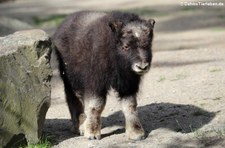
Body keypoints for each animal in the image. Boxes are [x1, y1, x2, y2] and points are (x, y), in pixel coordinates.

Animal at [53, 11, 155, 140]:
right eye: (126, 46)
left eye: (148, 45)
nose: (142, 67)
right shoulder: (95, 82)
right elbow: (96, 105)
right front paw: (92, 133)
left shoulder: (128, 84)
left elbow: (130, 105)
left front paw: (136, 133)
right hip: (70, 79)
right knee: (73, 99)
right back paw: (79, 127)